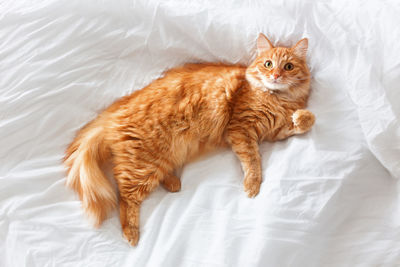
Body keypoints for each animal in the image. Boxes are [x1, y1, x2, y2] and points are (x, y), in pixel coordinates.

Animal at [64, 34, 314, 247]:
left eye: (288, 66)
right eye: (268, 64)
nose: (276, 76)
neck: (276, 99)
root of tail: (112, 115)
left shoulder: (272, 132)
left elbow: (303, 122)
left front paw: (302, 117)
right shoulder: (241, 128)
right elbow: (252, 161)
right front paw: (252, 185)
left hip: (160, 159)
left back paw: (173, 182)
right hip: (143, 165)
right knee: (124, 197)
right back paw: (131, 233)